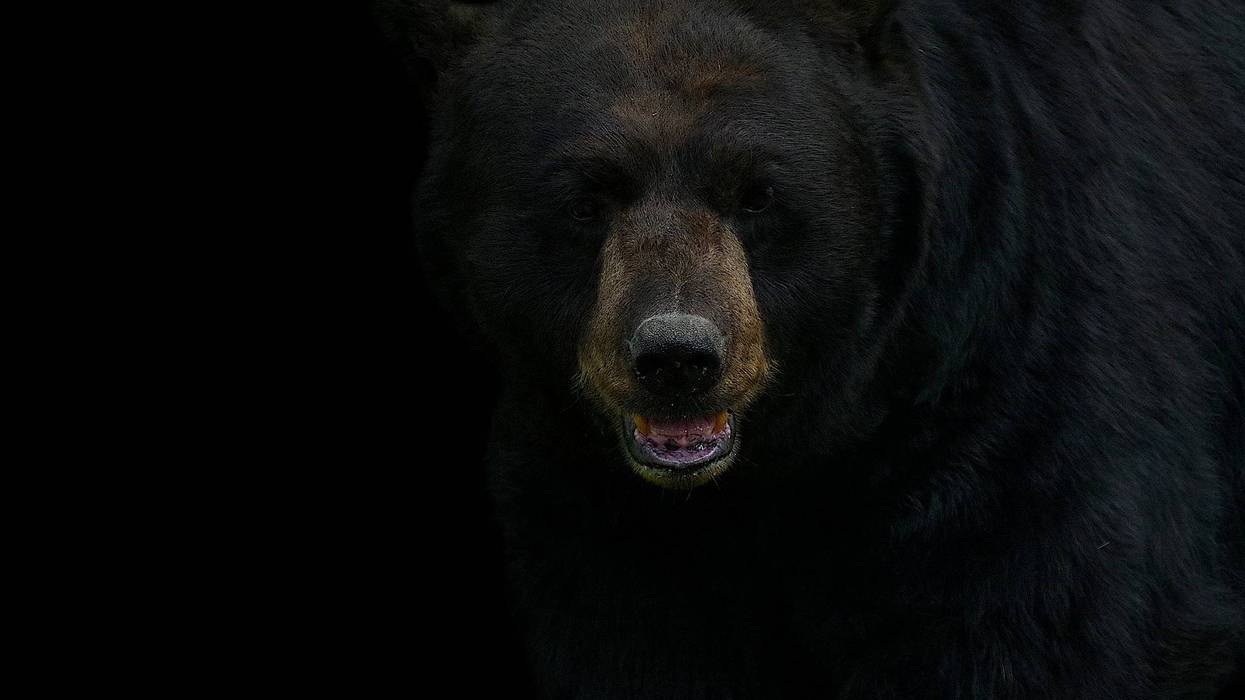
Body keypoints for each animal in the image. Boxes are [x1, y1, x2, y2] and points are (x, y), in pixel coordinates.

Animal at [379, 0, 1245, 696]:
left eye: (758, 193)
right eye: (585, 200)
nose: (677, 359)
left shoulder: (1004, 402)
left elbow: (1049, 619)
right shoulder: (593, 515)